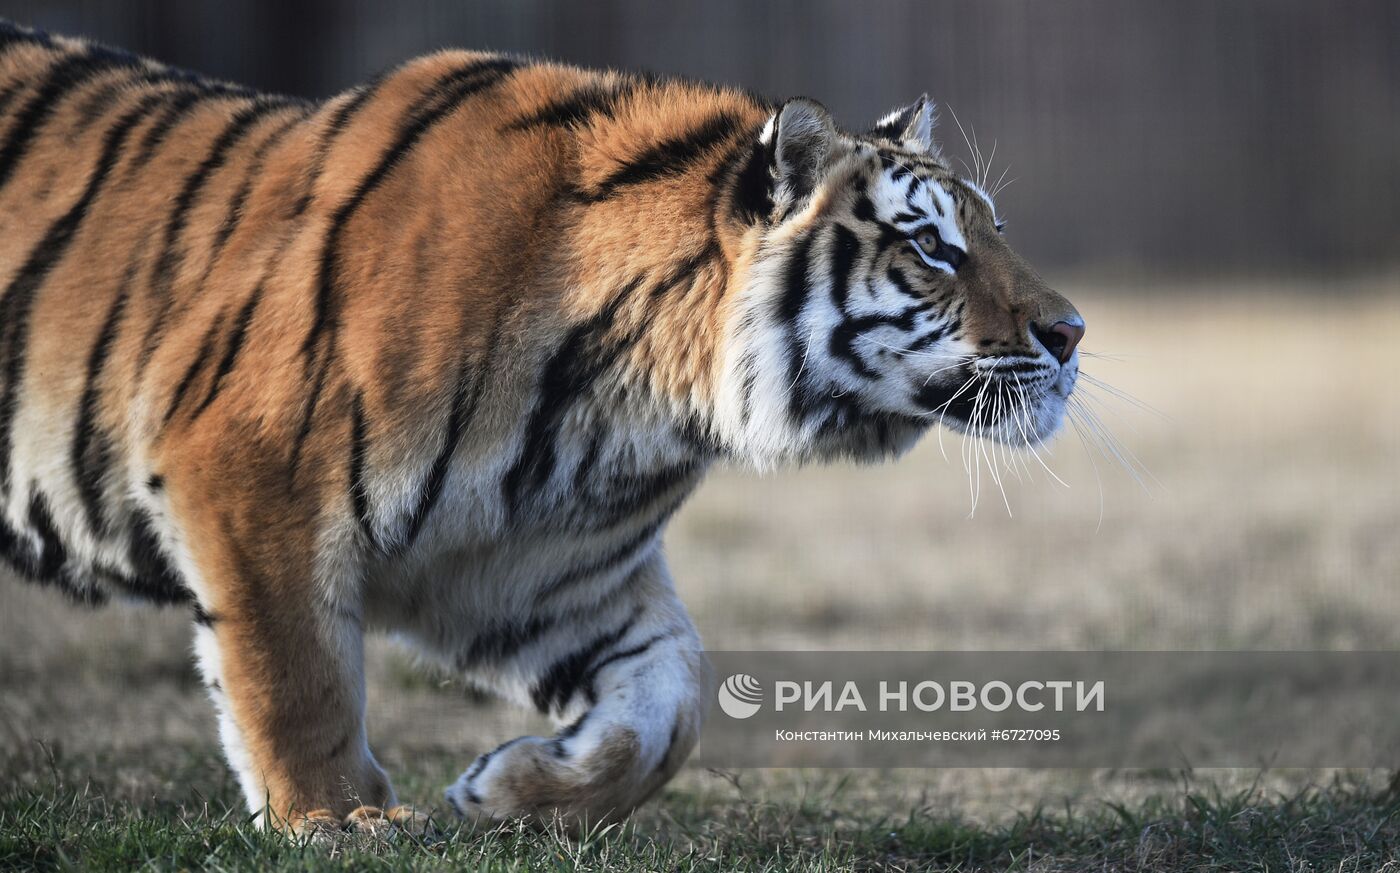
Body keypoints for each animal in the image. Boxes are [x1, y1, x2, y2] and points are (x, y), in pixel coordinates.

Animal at [0, 20, 1080, 833]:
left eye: (992, 228)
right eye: (931, 247)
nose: (1070, 332)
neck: (630, 407)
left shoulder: (540, 570)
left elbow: (670, 702)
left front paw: (510, 796)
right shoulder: (251, 471)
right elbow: (295, 675)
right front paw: (342, 822)